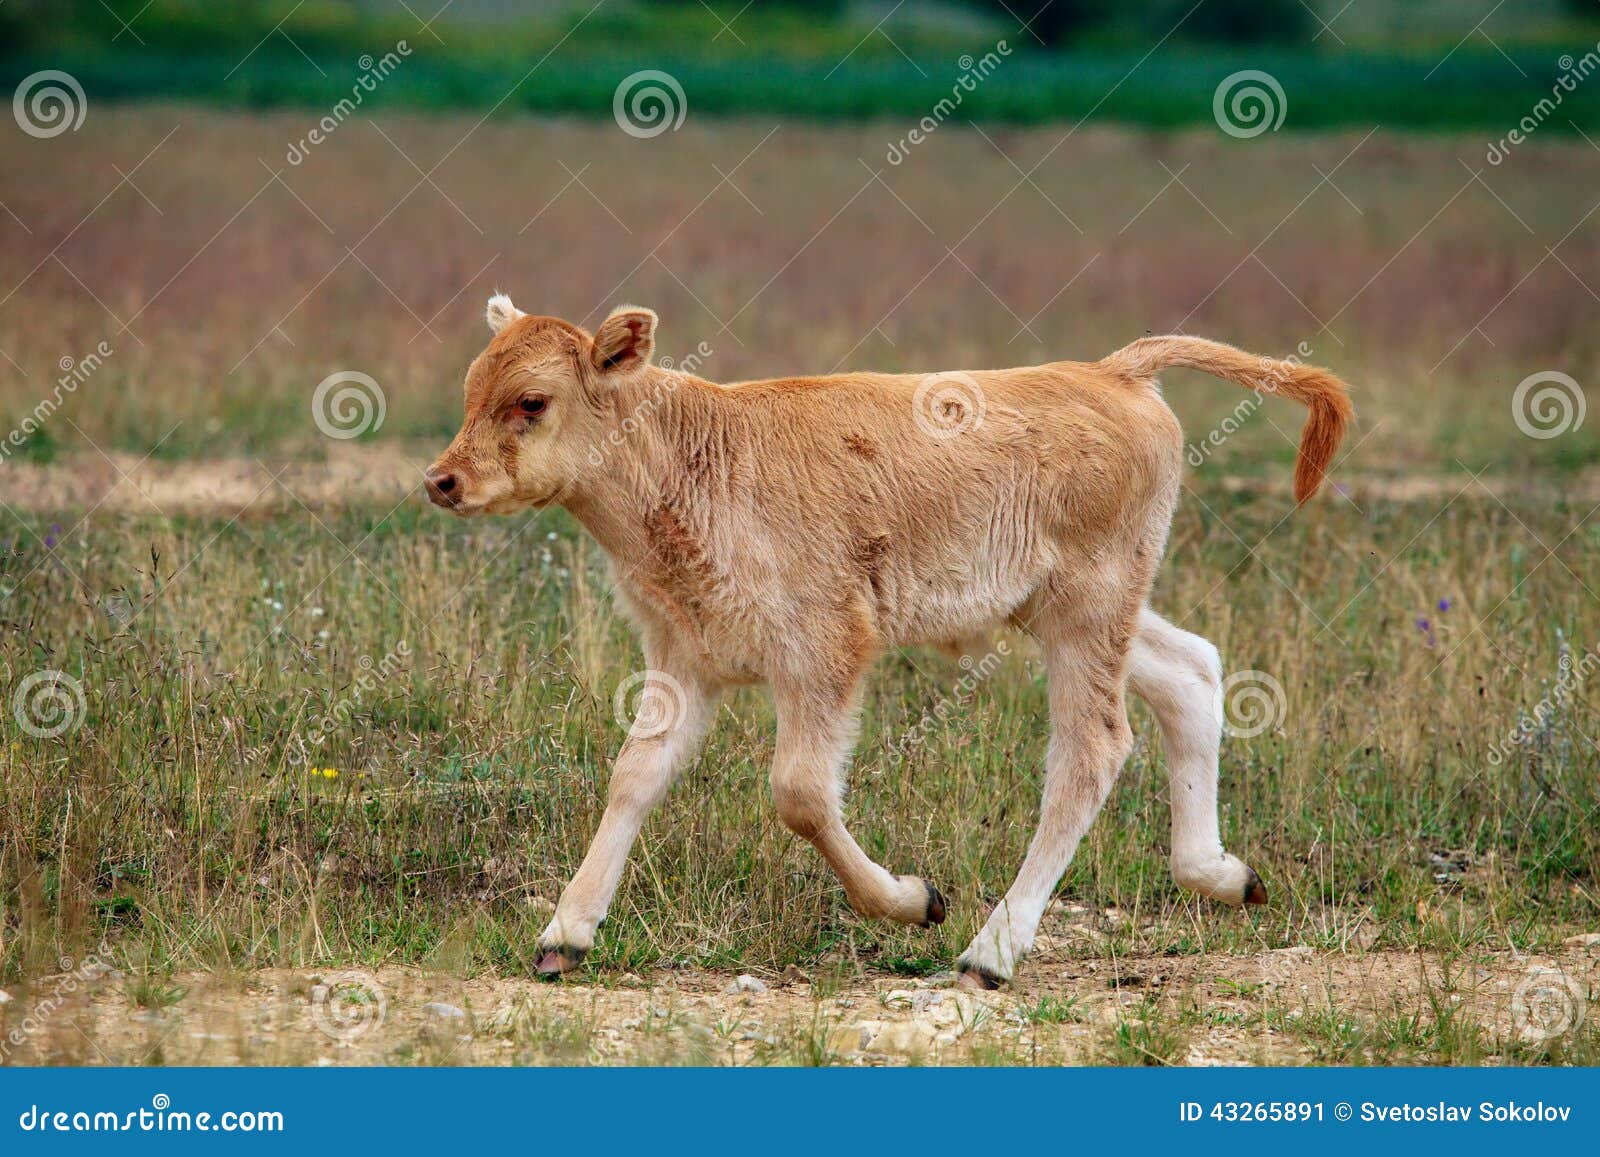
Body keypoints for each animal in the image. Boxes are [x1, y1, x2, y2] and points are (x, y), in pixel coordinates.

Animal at [425, 294, 1352, 988]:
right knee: (1191, 672)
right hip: (1070, 614)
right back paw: (1225, 875)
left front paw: (917, 899)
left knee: (1093, 748)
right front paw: (564, 935)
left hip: (1088, 617)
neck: (691, 456)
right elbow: (635, 776)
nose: (443, 480)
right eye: (471, 386)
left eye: (532, 400)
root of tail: (1114, 371)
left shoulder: (824, 653)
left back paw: (990, 952)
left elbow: (800, 792)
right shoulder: (684, 660)